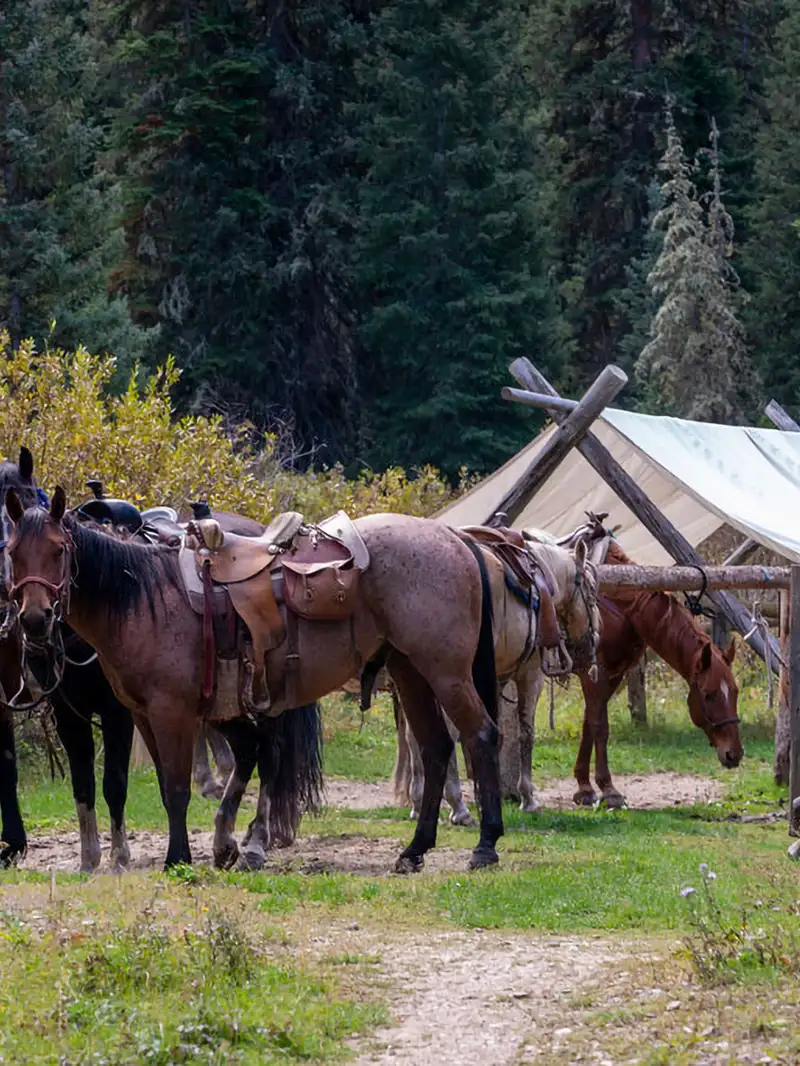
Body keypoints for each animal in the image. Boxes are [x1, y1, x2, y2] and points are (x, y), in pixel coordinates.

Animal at [3, 445, 322, 869]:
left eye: (58, 550)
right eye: (14, 552)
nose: (35, 619)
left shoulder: (125, 711)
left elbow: (123, 783)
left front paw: (129, 857)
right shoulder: (75, 711)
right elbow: (87, 783)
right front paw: (89, 859)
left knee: (273, 753)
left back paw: (256, 840)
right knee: (248, 749)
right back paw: (225, 838)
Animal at [6, 490, 503, 874]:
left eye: (59, 550)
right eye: (12, 553)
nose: (34, 619)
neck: (144, 598)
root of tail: (455, 538)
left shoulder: (172, 713)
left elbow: (177, 789)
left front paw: (178, 860)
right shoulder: (142, 715)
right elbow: (170, 786)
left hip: (446, 673)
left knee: (480, 735)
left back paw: (485, 846)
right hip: (409, 671)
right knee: (436, 748)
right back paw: (414, 851)